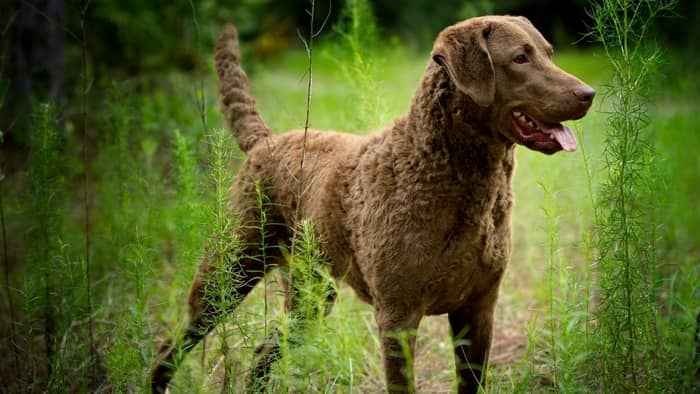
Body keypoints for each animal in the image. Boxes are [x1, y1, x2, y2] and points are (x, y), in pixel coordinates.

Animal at [150, 14, 592, 390]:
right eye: (520, 57)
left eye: (549, 52)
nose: (588, 93)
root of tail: (267, 141)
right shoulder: (398, 317)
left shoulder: (479, 310)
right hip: (230, 271)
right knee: (172, 347)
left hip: (311, 295)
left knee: (262, 354)